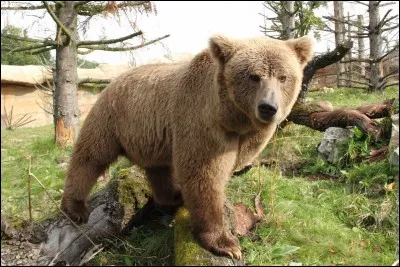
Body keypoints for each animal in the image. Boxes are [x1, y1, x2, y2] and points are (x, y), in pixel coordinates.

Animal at [61, 34, 314, 260]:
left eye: (283, 77)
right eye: (254, 76)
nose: (268, 107)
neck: (232, 118)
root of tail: (114, 79)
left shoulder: (245, 137)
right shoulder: (201, 121)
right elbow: (203, 175)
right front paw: (226, 243)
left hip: (150, 137)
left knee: (158, 168)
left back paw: (171, 196)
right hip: (113, 117)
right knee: (91, 156)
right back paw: (76, 208)